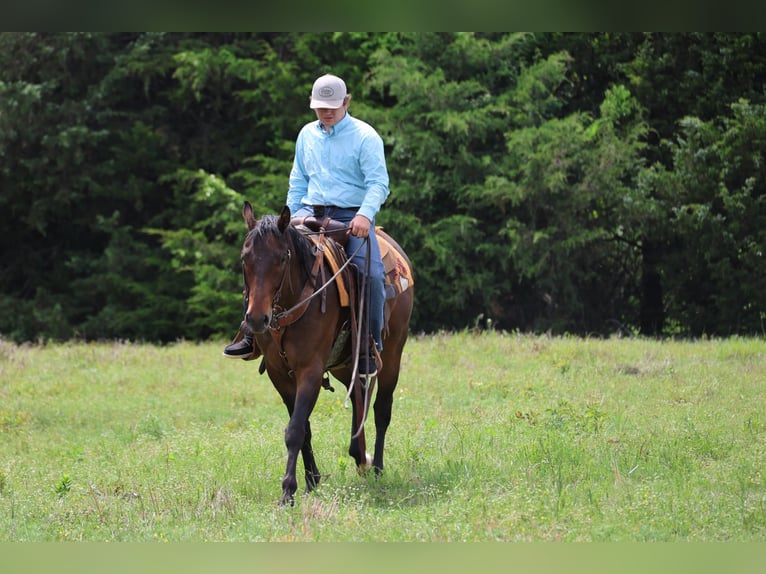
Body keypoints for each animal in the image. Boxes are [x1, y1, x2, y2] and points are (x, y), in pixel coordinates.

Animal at [239, 202, 414, 506]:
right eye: (244, 259)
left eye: (281, 258)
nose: (257, 319)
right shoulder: (278, 374)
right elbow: (304, 428)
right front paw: (311, 480)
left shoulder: (310, 369)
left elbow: (295, 429)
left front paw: (288, 491)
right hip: (346, 363)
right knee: (359, 395)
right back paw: (359, 454)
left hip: (392, 355)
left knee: (382, 409)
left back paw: (377, 468)